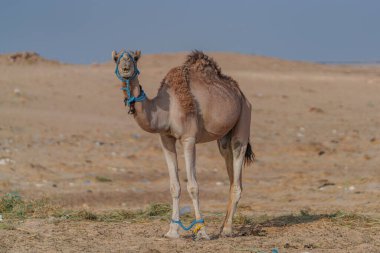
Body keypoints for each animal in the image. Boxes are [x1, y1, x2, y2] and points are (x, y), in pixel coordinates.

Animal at [113, 49, 255, 239]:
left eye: (135, 58)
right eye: (116, 58)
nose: (125, 66)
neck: (167, 109)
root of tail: (240, 93)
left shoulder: (189, 138)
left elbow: (193, 186)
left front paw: (201, 232)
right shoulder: (166, 139)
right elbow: (174, 186)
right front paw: (172, 231)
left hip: (244, 118)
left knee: (238, 168)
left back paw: (226, 230)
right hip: (224, 138)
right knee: (231, 174)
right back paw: (223, 227)